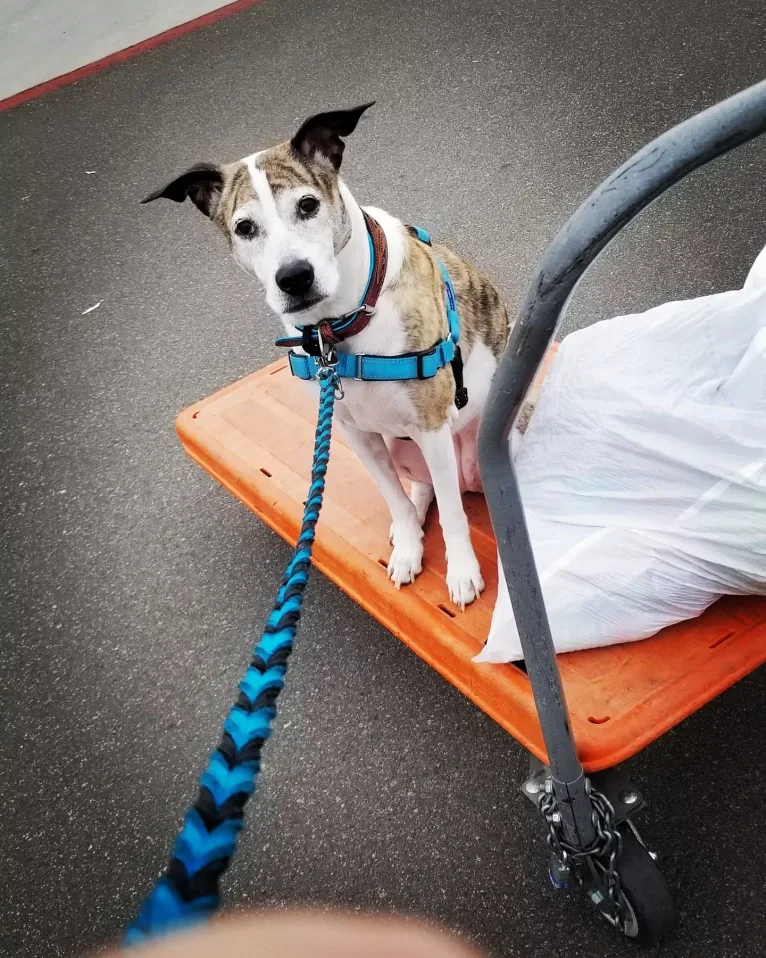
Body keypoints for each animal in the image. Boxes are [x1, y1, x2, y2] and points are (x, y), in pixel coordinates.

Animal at [147, 103, 512, 608]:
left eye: (307, 205)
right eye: (244, 228)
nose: (294, 277)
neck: (338, 330)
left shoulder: (431, 423)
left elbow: (456, 519)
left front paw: (461, 572)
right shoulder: (356, 433)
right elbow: (394, 498)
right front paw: (409, 544)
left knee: (457, 493)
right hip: (404, 448)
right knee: (425, 489)